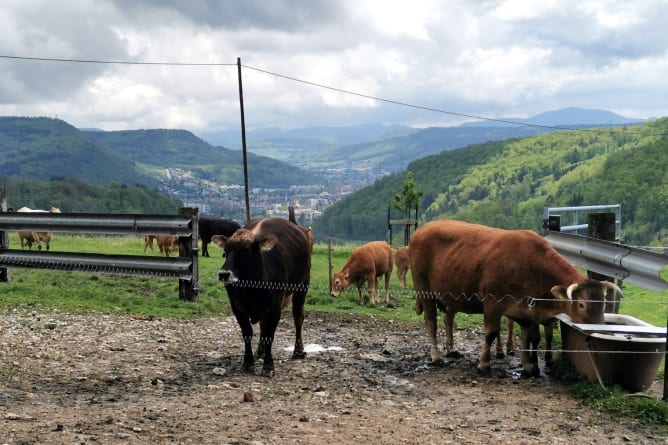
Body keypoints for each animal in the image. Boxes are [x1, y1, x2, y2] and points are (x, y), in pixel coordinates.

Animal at [211, 210, 310, 376]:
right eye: (225, 252)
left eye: (244, 251)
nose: (224, 274)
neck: (252, 290)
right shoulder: (237, 306)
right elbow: (247, 333)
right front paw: (248, 362)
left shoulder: (275, 307)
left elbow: (270, 335)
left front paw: (269, 366)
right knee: (264, 325)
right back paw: (261, 351)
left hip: (303, 284)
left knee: (298, 317)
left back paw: (298, 351)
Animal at [410, 218, 624, 374]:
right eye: (581, 305)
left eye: (603, 303)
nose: (599, 328)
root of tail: (423, 229)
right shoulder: (492, 303)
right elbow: (491, 333)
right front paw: (484, 363)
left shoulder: (527, 309)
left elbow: (529, 336)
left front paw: (529, 365)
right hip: (424, 288)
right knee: (431, 322)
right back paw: (437, 355)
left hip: (450, 294)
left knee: (448, 318)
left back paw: (451, 349)